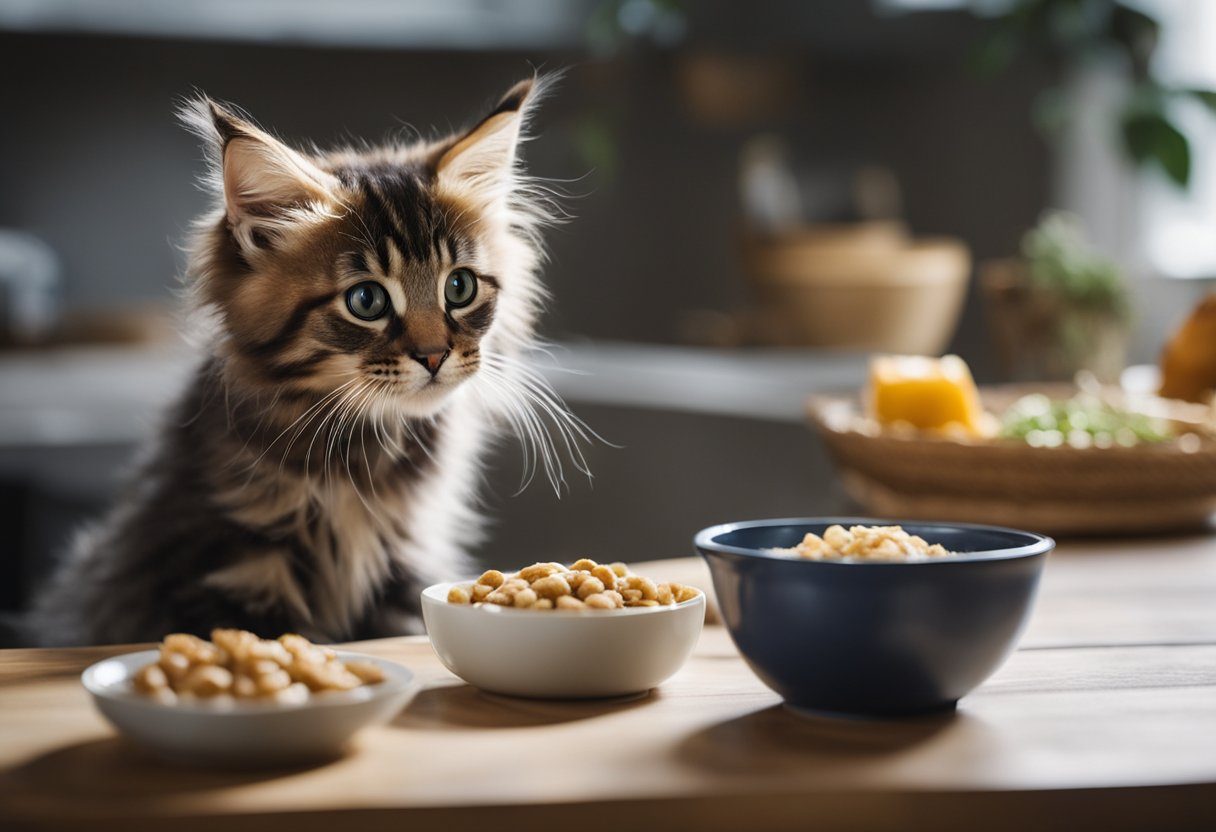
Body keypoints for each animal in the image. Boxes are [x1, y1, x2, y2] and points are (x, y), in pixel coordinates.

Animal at [32, 76, 583, 642]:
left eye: (459, 287)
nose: (434, 355)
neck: (362, 466)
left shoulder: (397, 574)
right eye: (366, 300)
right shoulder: (224, 571)